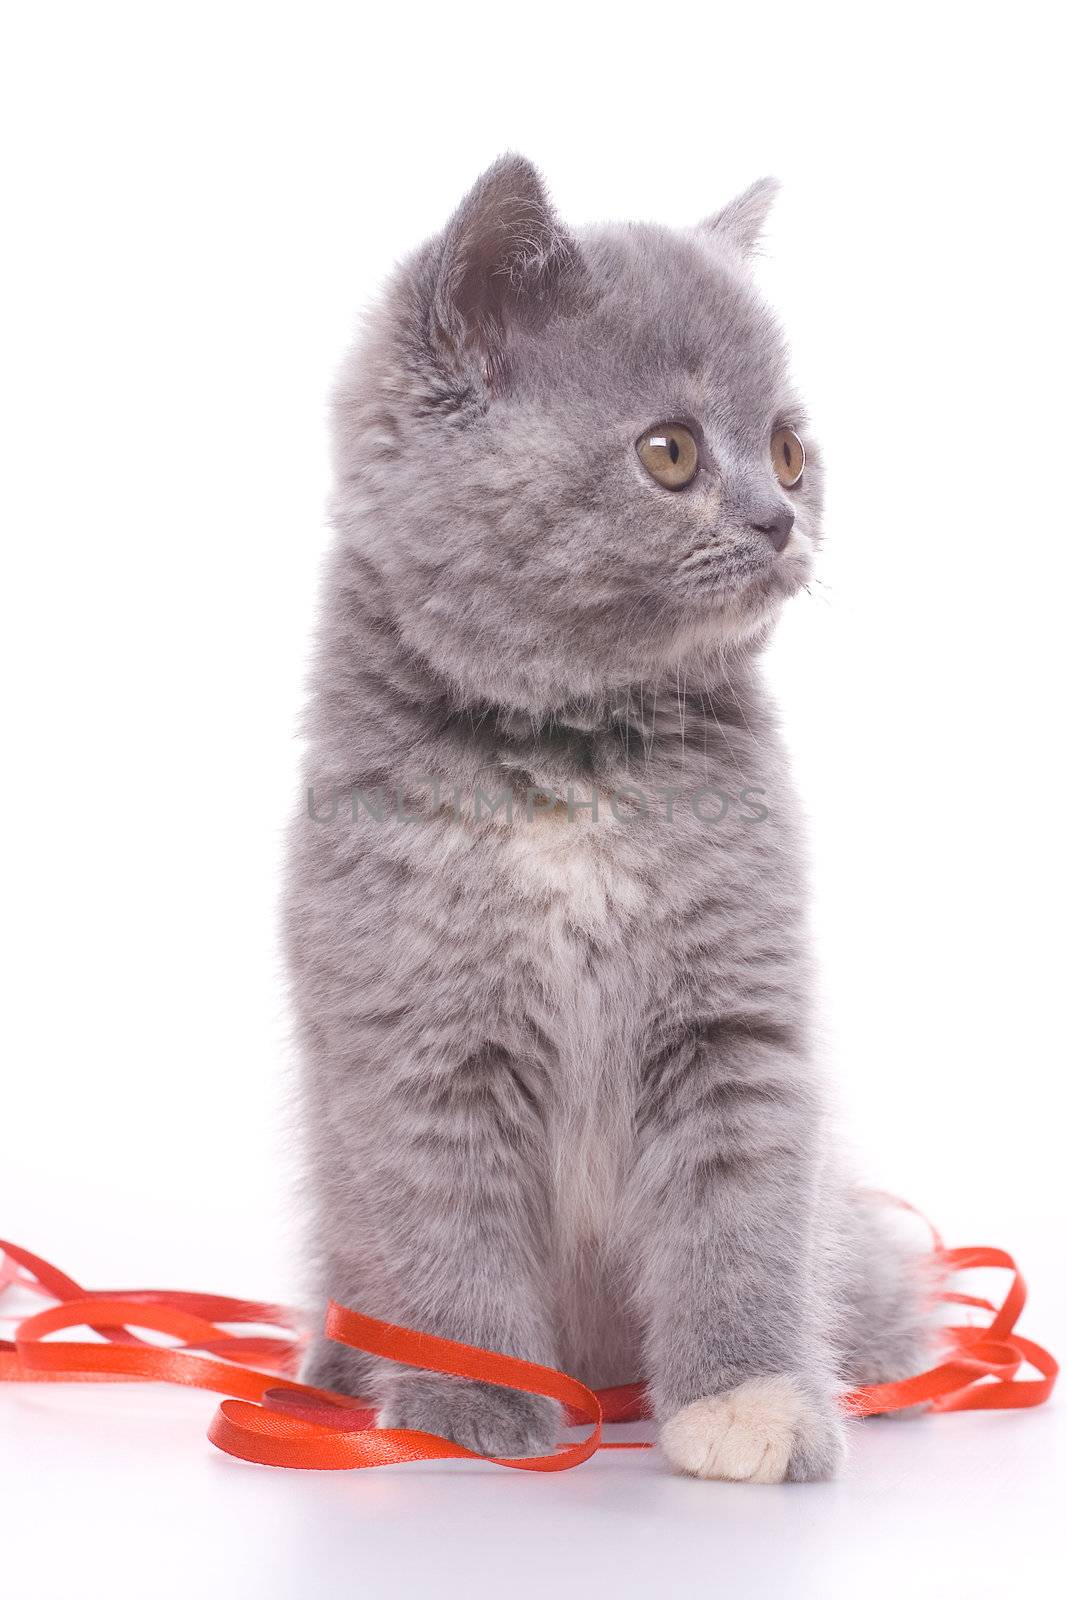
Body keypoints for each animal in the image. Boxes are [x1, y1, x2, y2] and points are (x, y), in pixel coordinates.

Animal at [286, 156, 934, 1478]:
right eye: (669, 452)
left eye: (788, 450)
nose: (777, 519)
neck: (573, 760)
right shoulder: (418, 1036)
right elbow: (446, 1229)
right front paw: (468, 1398)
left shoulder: (734, 1017)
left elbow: (740, 1218)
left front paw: (750, 1402)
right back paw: (341, 1370)